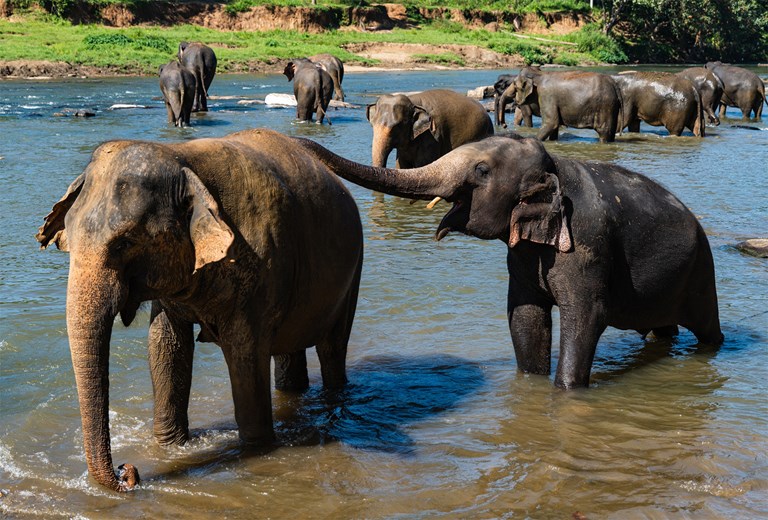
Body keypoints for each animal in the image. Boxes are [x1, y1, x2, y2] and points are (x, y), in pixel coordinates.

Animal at [36, 128, 364, 492]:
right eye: (70, 237)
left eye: (125, 243)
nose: (128, 470)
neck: (182, 160)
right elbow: (166, 346)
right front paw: (170, 448)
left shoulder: (261, 264)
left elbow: (245, 353)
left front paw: (257, 450)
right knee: (289, 351)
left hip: (353, 269)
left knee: (332, 348)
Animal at [295, 134, 724, 390]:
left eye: (482, 170)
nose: (298, 141)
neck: (555, 165)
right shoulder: (522, 255)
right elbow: (525, 316)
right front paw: (530, 385)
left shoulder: (588, 244)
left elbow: (586, 316)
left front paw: (566, 392)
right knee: (663, 329)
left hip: (702, 271)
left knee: (707, 329)